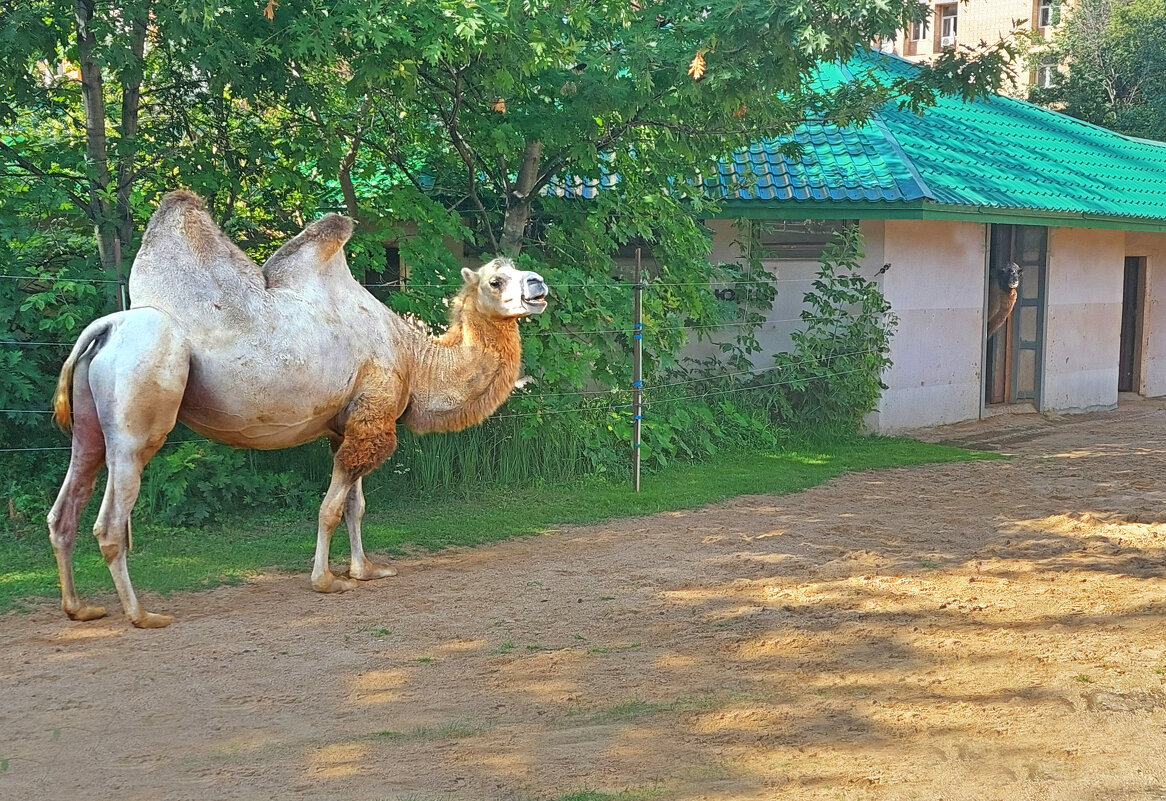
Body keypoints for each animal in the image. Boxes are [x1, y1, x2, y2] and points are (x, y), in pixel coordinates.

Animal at [47, 191, 548, 629]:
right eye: (495, 280)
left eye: (522, 270)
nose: (539, 284)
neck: (412, 357)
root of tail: (106, 327)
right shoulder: (375, 413)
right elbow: (331, 508)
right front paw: (326, 580)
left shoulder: (350, 422)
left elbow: (356, 506)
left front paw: (366, 570)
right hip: (139, 410)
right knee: (111, 522)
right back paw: (142, 615)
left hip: (90, 426)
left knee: (65, 506)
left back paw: (80, 609)